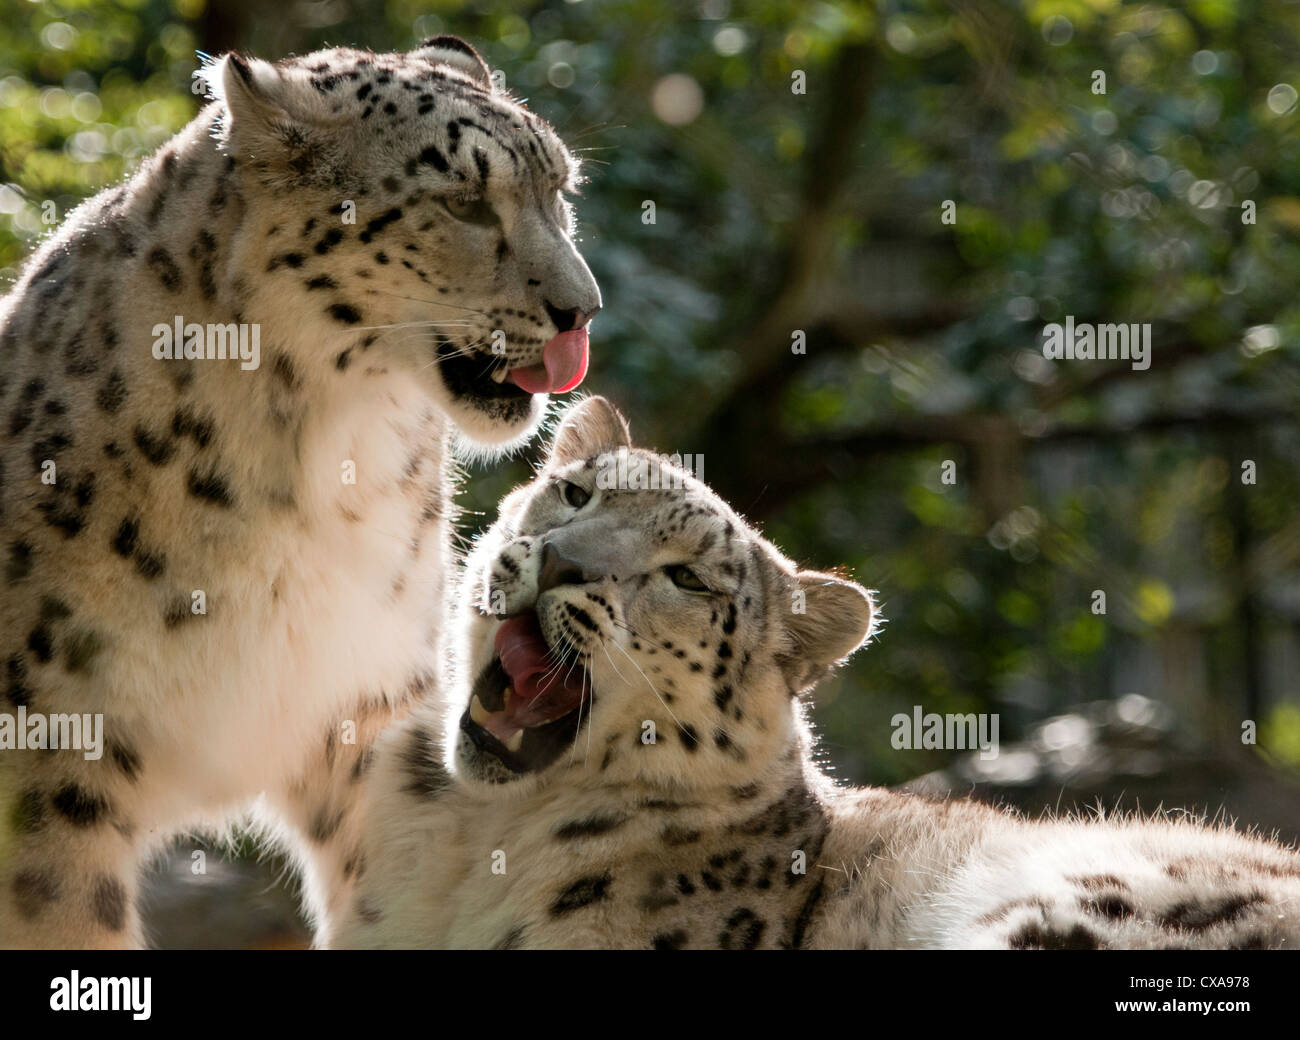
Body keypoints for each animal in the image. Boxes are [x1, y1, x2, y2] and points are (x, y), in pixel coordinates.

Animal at [0, 36, 598, 946]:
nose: (583, 311)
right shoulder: (51, 757)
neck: (319, 467)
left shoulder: (367, 704)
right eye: (464, 201)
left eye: (559, 189)